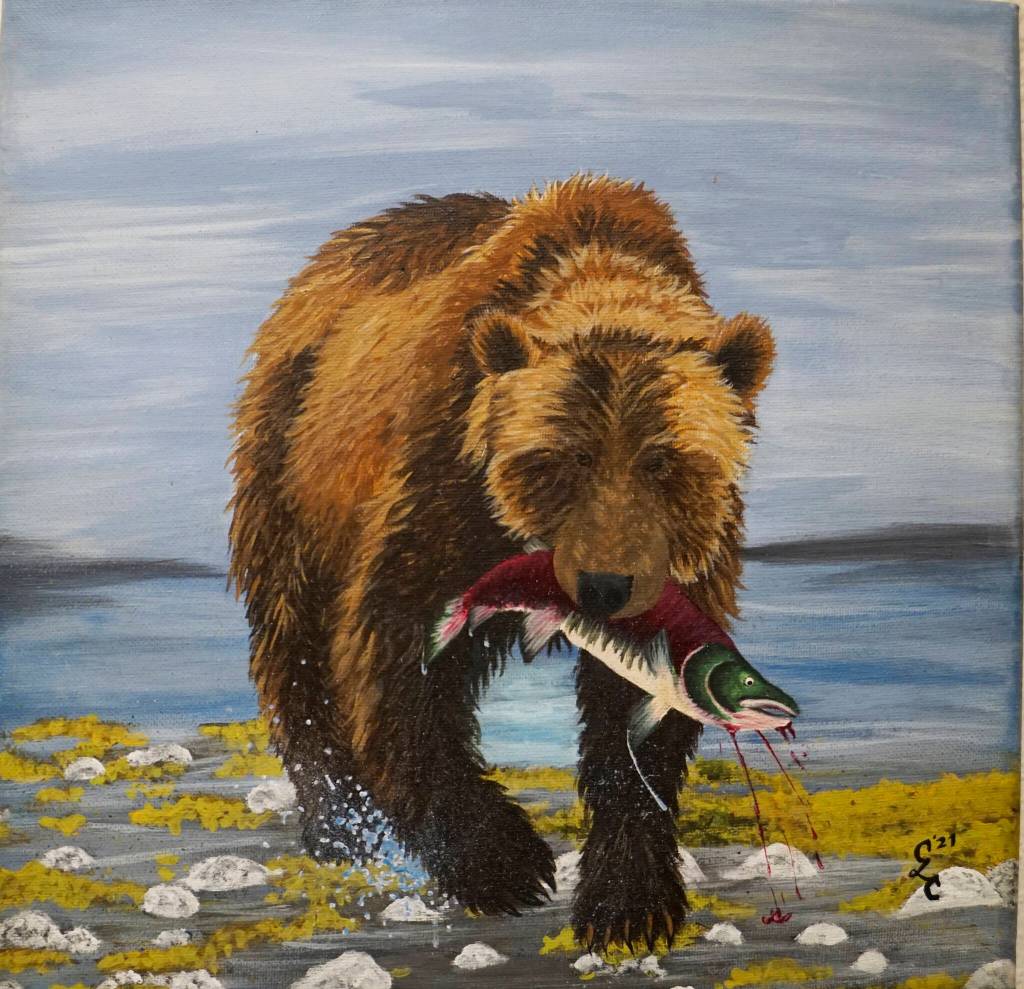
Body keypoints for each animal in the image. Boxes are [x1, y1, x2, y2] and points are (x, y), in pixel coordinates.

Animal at [228, 175, 774, 950]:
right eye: (561, 460)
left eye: (664, 461)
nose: (605, 586)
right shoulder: (442, 484)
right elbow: (397, 657)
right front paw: (504, 862)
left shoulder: (686, 572)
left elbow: (639, 714)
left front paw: (627, 900)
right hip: (291, 467)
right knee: (292, 646)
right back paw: (339, 826)